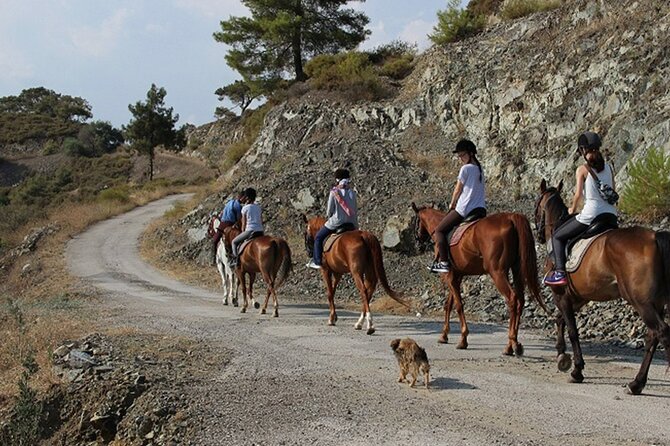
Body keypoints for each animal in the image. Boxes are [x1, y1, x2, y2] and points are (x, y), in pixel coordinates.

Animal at [411, 203, 550, 356]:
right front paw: (444, 335)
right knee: (520, 301)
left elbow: (458, 305)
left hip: (497, 272)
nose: (417, 245)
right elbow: (449, 304)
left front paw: (463, 339)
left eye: (415, 222)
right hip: (517, 270)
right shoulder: (457, 276)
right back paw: (514, 345)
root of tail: (511, 217)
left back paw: (511, 343)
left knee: (512, 299)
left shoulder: (449, 276)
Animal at [535, 179, 670, 394]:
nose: (539, 235)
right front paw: (561, 354)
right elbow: (560, 319)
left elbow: (572, 330)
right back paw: (636, 383)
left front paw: (576, 369)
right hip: (656, 303)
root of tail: (653, 238)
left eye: (537, 203)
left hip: (641, 302)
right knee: (652, 337)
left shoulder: (561, 295)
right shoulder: (579, 297)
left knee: (662, 332)